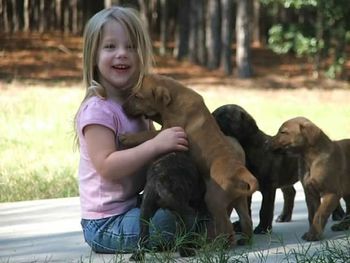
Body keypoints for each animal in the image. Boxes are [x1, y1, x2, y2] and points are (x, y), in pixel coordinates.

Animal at [121, 73, 258, 245]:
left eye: (138, 96)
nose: (122, 107)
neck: (175, 98)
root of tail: (241, 172)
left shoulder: (169, 129)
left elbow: (149, 135)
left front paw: (127, 138)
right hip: (239, 200)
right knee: (246, 221)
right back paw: (244, 240)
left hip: (214, 200)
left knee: (227, 228)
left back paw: (217, 244)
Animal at [211, 104, 344, 234]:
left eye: (224, 117)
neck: (249, 148)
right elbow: (247, 208)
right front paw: (241, 226)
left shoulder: (268, 188)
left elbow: (265, 209)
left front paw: (263, 228)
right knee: (290, 193)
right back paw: (284, 216)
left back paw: (338, 214)